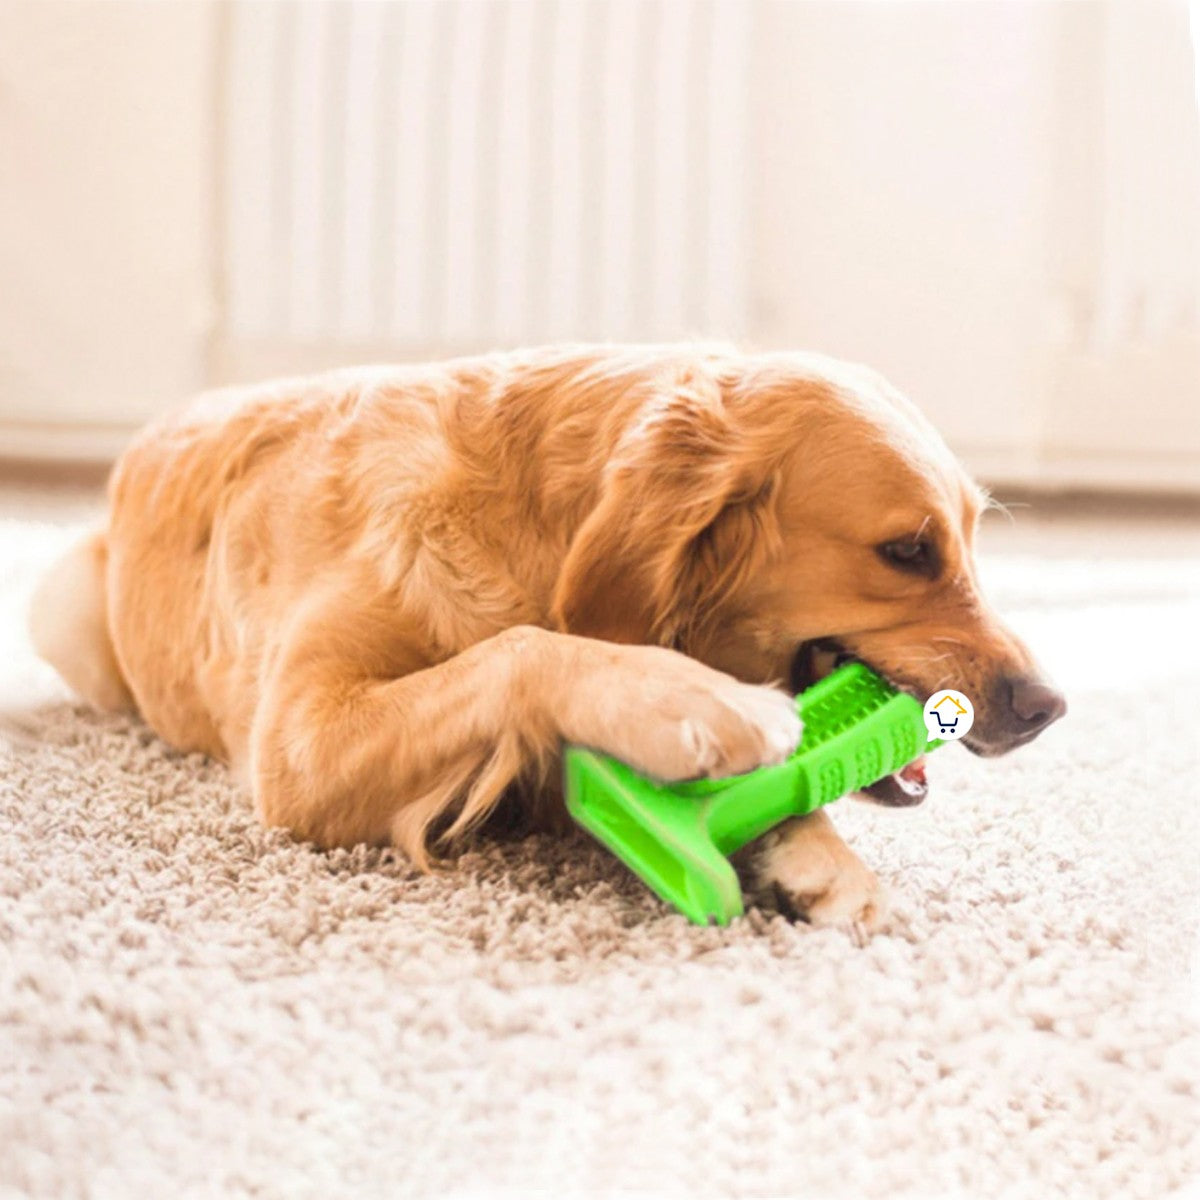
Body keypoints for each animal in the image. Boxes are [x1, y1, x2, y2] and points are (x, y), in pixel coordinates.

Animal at [28, 343, 1065, 931]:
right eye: (908, 551)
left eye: (971, 535)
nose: (1048, 706)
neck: (538, 531)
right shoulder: (297, 745)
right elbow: (520, 647)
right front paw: (684, 698)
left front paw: (823, 861)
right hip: (65, 610)